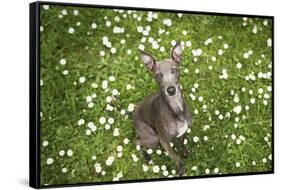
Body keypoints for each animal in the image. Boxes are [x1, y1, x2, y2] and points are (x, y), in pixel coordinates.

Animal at [134, 41, 192, 177]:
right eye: (158, 75)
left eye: (175, 70)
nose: (171, 90)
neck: (175, 108)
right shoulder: (164, 140)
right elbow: (176, 158)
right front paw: (181, 171)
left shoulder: (184, 130)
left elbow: (182, 143)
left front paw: (184, 152)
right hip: (153, 138)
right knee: (136, 142)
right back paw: (147, 157)